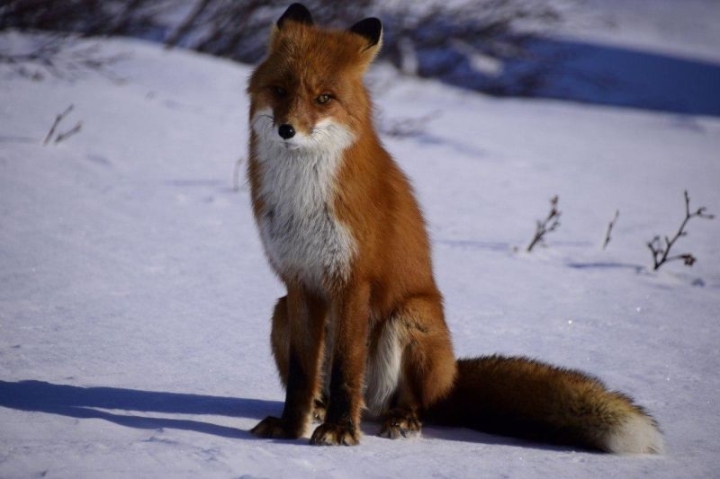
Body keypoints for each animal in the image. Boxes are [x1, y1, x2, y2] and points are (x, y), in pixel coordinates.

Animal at [246, 2, 664, 454]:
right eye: (281, 90)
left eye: (324, 98)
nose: (287, 129)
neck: (303, 197)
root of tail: (452, 378)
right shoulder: (300, 280)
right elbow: (302, 375)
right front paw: (291, 427)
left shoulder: (353, 281)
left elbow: (345, 370)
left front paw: (341, 431)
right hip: (281, 311)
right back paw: (322, 411)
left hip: (412, 318)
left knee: (411, 402)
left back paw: (399, 419)